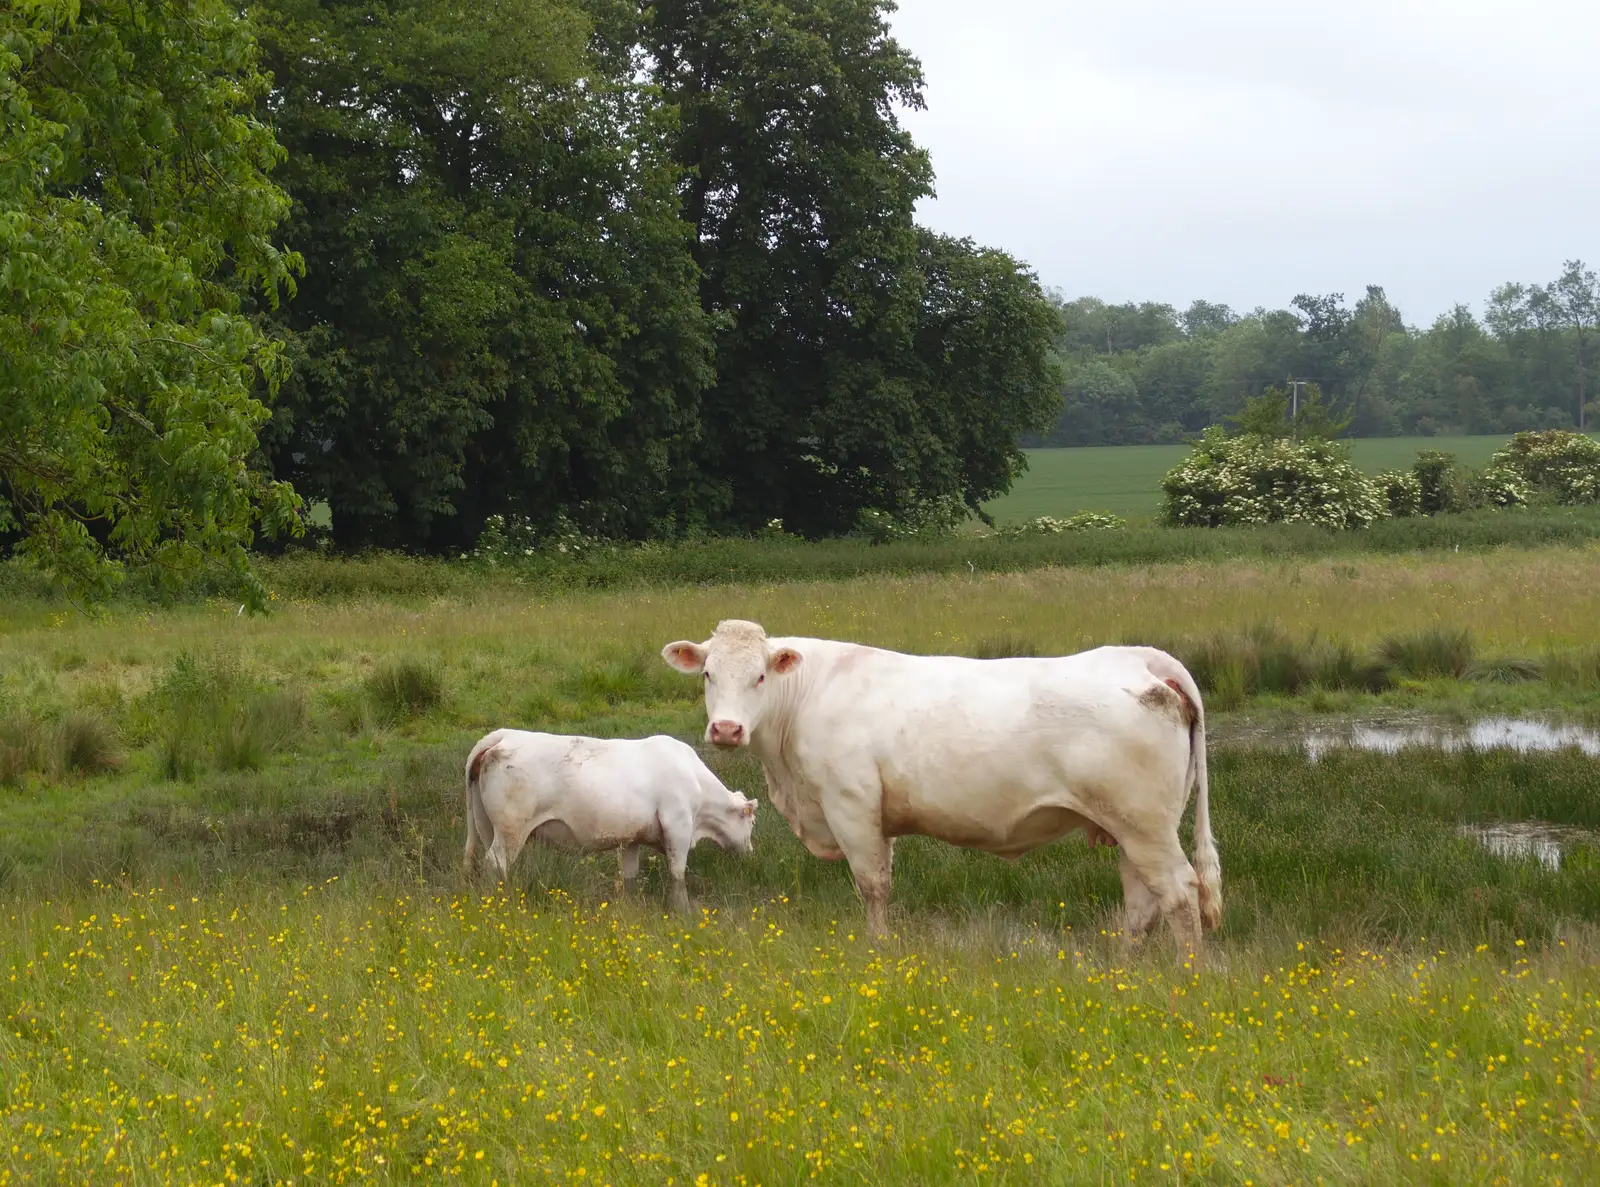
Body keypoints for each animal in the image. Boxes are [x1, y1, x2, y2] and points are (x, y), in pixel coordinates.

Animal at [467, 729, 758, 915]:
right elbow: (678, 873)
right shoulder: (678, 827)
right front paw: (683, 910)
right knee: (496, 863)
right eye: (752, 823)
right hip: (511, 831)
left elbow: (630, 875)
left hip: (487, 827)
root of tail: (504, 735)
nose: (751, 853)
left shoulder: (632, 838)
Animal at [662, 623, 1222, 959]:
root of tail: (1140, 658)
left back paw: (1187, 976)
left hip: (1143, 824)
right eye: (708, 674)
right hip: (1128, 828)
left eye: (760, 677)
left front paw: (879, 948)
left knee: (1180, 893)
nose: (726, 729)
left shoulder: (851, 806)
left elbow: (873, 885)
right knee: (1143, 902)